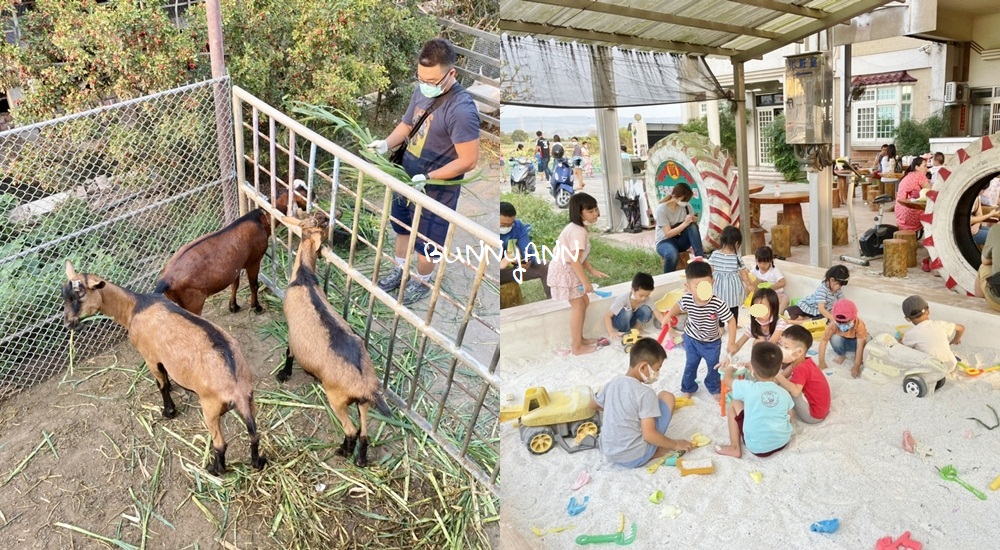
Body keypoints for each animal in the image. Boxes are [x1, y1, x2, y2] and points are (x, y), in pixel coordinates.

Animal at [62, 260, 266, 476]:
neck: (135, 307)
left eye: (80, 295)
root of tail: (236, 390)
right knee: (254, 434)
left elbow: (161, 385)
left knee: (220, 444)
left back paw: (214, 469)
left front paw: (168, 411)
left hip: (210, 407)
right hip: (250, 399)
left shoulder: (150, 356)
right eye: (64, 296)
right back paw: (258, 462)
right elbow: (166, 377)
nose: (69, 324)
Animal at [152, 183, 306, 314]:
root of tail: (165, 280)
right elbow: (254, 285)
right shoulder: (254, 260)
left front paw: (233, 306)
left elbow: (235, 284)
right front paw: (256, 307)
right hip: (193, 301)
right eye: (304, 194)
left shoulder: (236, 265)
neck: (261, 220)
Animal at [282, 213, 394, 468]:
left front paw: (283, 374)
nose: (337, 216)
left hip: (337, 399)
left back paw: (343, 451)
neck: (303, 277)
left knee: (351, 429)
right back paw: (360, 459)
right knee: (364, 433)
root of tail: (365, 386)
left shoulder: (291, 332)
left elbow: (289, 352)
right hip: (363, 403)